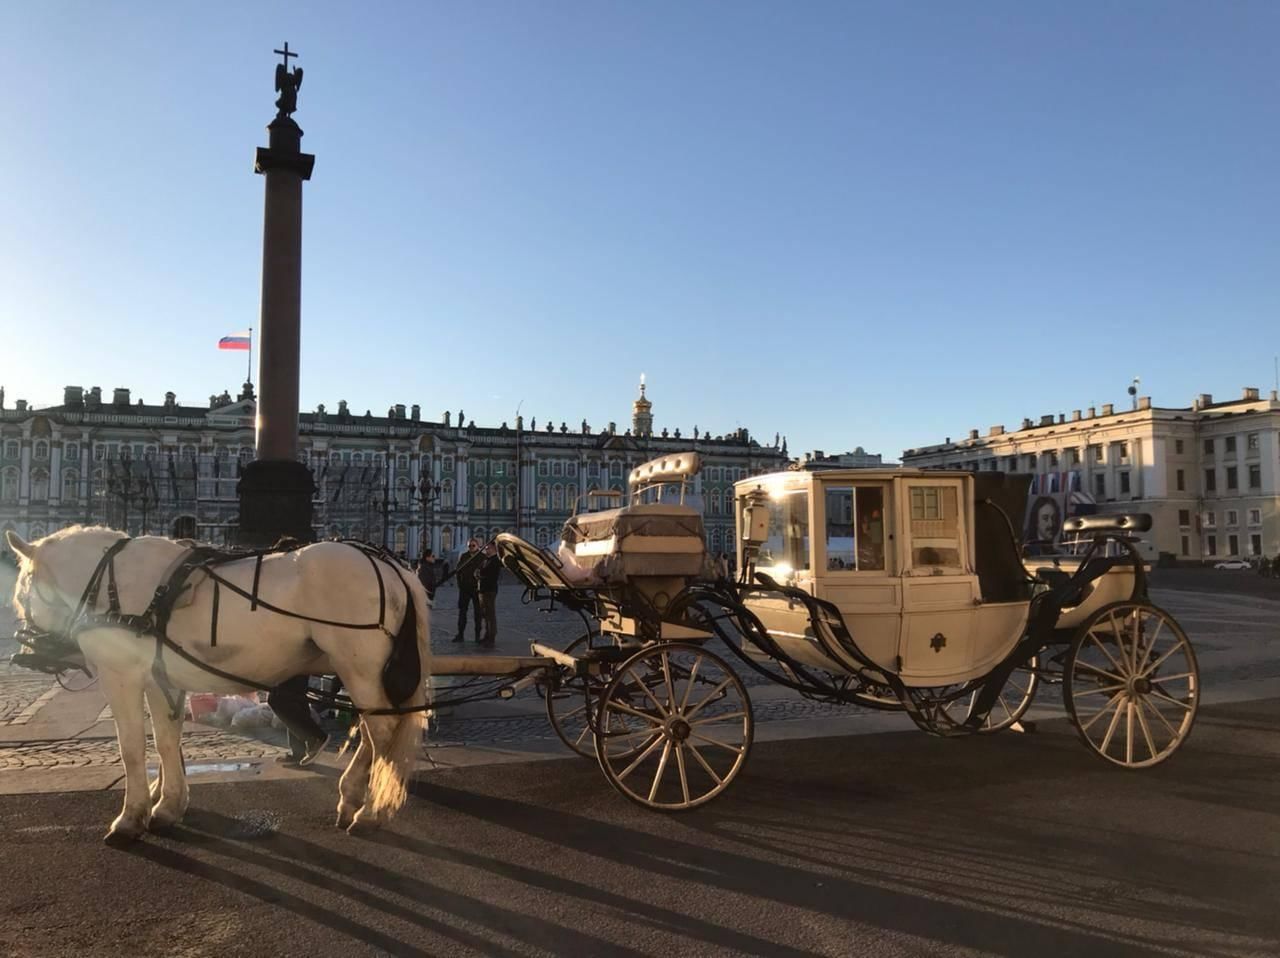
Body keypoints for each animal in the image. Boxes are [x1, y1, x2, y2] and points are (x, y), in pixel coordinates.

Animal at [3, 525, 435, 845]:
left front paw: (130, 817)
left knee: (381, 732)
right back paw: (349, 799)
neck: (110, 582)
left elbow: (132, 748)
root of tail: (391, 563)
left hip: (359, 669)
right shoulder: (161, 678)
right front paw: (168, 806)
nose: (26, 651)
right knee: (371, 731)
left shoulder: (121, 675)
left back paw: (369, 813)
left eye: (22, 588)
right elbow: (167, 742)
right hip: (361, 674)